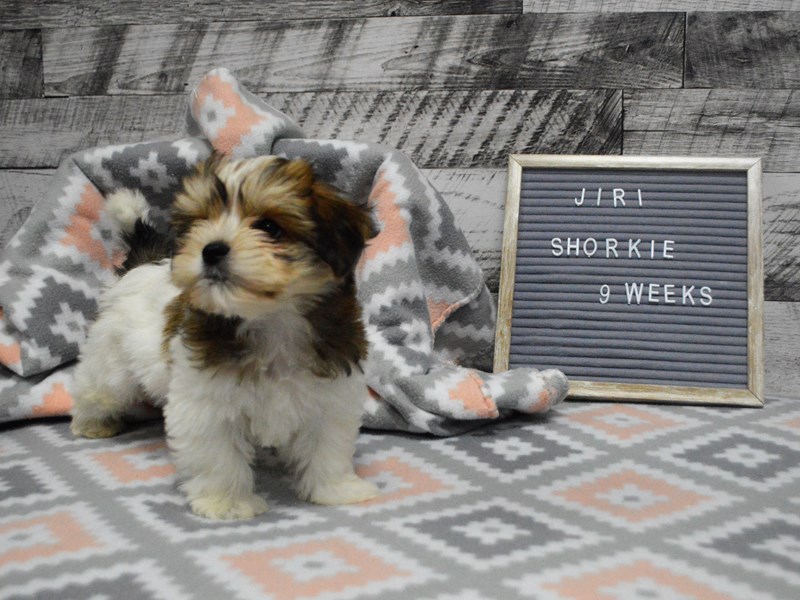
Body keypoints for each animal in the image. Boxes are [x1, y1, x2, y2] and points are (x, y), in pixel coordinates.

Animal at [70, 156, 380, 520]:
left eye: (270, 227)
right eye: (201, 222)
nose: (212, 249)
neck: (272, 320)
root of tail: (144, 264)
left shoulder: (331, 396)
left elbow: (328, 446)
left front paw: (337, 489)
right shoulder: (206, 404)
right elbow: (219, 455)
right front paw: (227, 502)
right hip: (113, 362)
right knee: (96, 386)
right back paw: (91, 422)